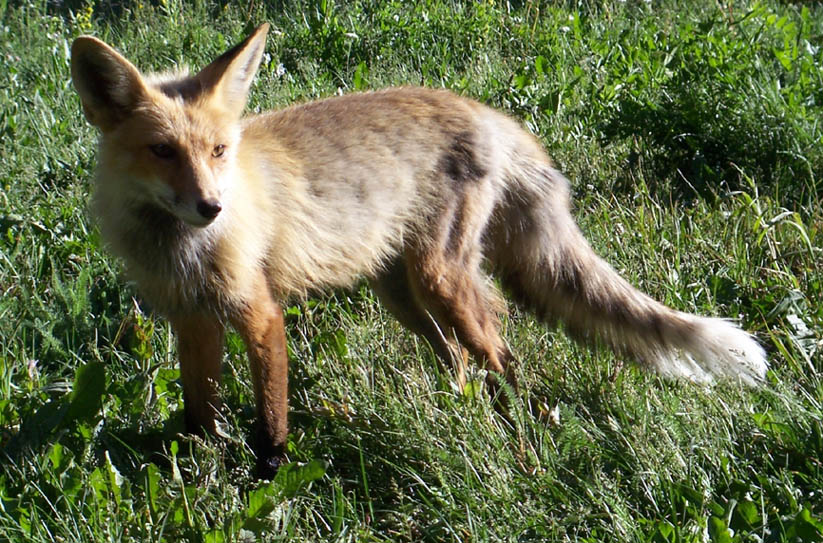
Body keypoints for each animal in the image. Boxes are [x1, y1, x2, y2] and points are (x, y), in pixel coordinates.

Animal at [69, 23, 768, 478]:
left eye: (219, 151)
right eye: (163, 151)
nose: (211, 207)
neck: (179, 251)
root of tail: (491, 115)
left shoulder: (260, 314)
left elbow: (270, 421)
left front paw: (266, 482)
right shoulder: (191, 320)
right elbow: (197, 417)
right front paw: (193, 475)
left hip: (440, 280)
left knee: (504, 360)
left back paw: (527, 440)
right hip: (401, 295)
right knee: (459, 362)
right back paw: (459, 418)